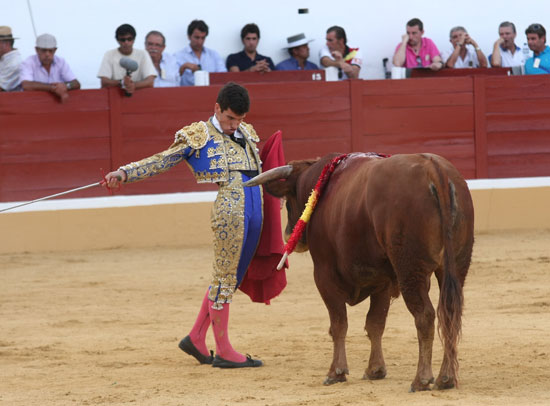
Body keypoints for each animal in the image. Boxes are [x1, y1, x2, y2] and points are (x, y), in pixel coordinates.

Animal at [246, 151, 474, 390]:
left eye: (289, 198)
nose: (288, 234)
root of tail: (434, 170)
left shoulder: (324, 276)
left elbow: (339, 324)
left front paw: (336, 372)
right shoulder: (383, 281)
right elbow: (375, 323)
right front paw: (375, 369)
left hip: (410, 270)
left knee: (425, 316)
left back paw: (421, 379)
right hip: (456, 266)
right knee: (450, 314)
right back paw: (446, 378)